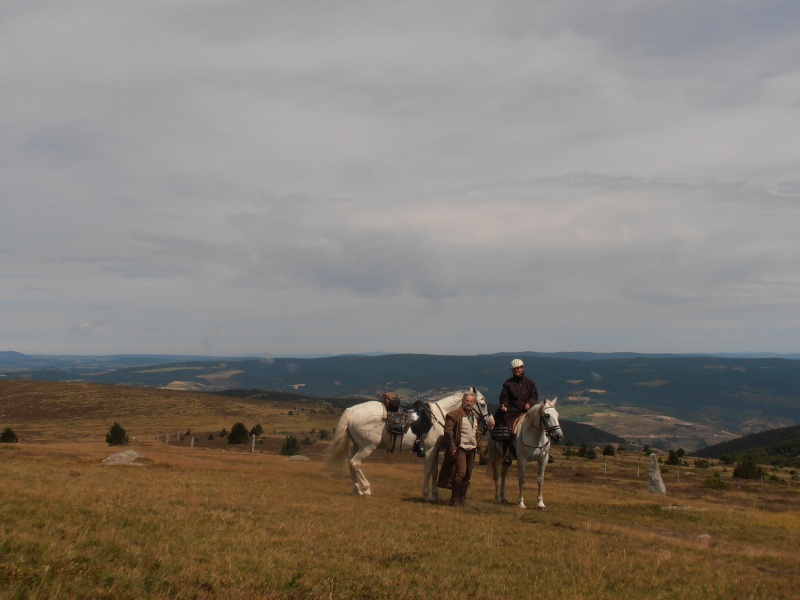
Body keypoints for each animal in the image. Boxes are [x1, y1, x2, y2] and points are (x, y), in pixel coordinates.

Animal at [326, 386, 494, 500]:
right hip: (368, 446)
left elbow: (435, 471)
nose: (492, 423)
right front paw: (427, 494)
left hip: (357, 445)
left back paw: (357, 490)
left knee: (350, 463)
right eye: (483, 403)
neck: (440, 416)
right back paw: (366, 489)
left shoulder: (435, 449)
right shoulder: (430, 449)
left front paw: (436, 494)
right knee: (355, 463)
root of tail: (352, 411)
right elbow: (427, 471)